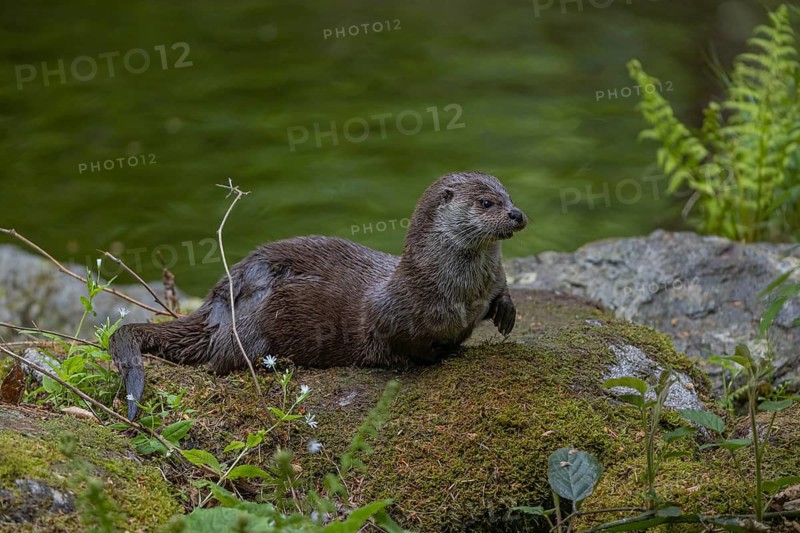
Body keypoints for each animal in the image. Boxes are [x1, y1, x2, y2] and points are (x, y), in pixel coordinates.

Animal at [111, 172, 527, 419]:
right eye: (487, 203)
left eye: (509, 196)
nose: (518, 214)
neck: (460, 291)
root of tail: (216, 304)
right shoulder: (392, 311)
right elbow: (404, 343)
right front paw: (435, 354)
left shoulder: (487, 286)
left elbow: (499, 294)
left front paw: (506, 312)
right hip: (256, 320)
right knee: (222, 360)